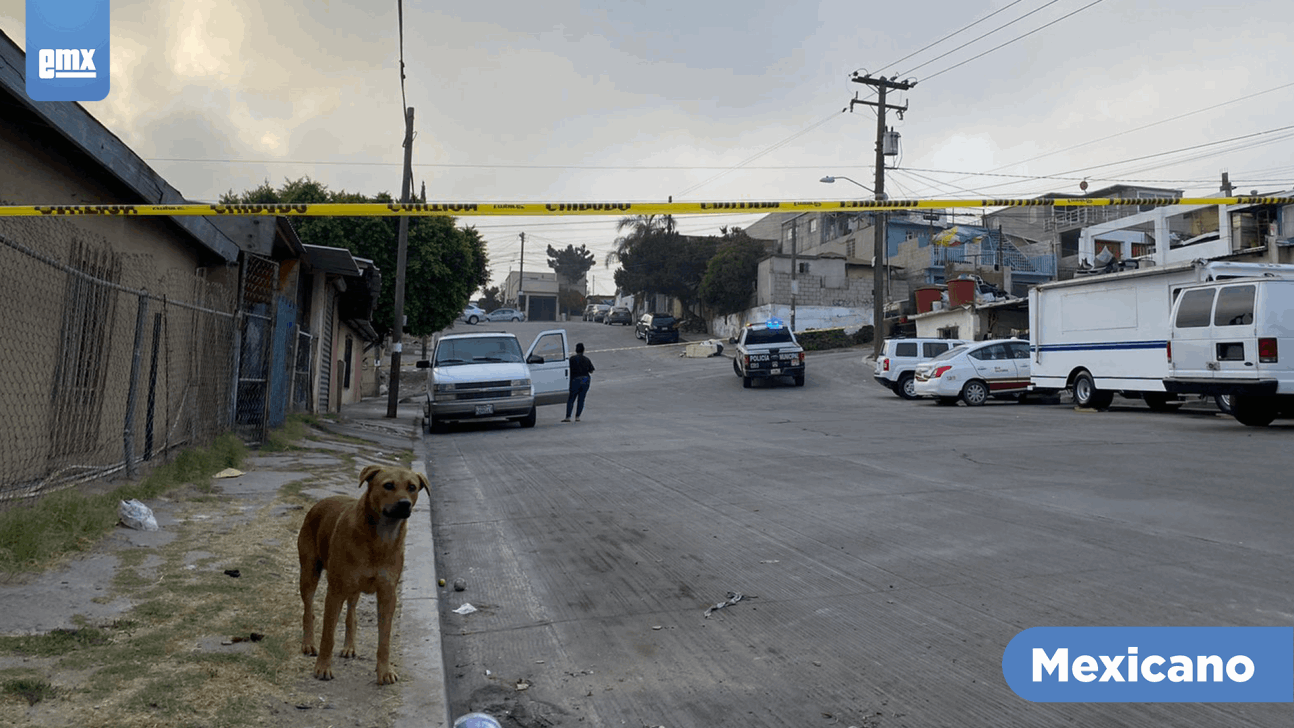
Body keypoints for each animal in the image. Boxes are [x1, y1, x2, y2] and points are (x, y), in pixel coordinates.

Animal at [297, 468, 429, 682]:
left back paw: (349, 646)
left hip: (353, 587)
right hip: (309, 572)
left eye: (412, 487)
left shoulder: (387, 593)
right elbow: (328, 635)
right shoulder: (335, 592)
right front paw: (322, 667)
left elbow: (384, 639)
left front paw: (384, 671)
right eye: (388, 485)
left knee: (351, 613)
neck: (379, 538)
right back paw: (308, 643)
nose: (405, 504)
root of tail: (320, 502)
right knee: (308, 610)